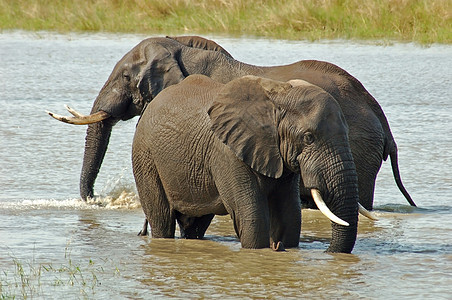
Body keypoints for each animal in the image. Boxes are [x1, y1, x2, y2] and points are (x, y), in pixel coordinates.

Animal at [131, 74, 360, 252]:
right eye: (309, 138)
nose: (327, 251)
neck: (279, 96)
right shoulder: (227, 153)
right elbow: (253, 219)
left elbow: (290, 217)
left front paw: (283, 246)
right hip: (145, 156)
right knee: (162, 219)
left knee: (195, 225)